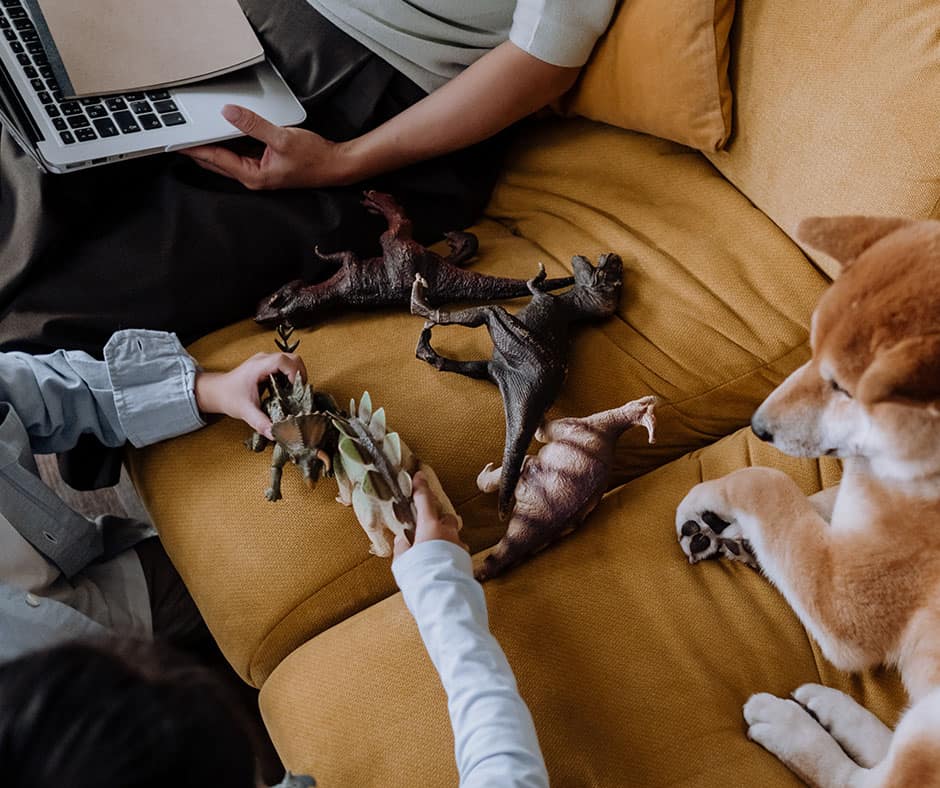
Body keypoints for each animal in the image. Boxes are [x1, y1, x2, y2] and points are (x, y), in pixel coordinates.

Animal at [676, 217, 940, 788]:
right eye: (811, 348)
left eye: (843, 388)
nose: (756, 427)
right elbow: (813, 503)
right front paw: (726, 533)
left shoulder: (844, 603)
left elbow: (766, 480)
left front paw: (711, 498)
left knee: (862, 780)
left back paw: (790, 726)